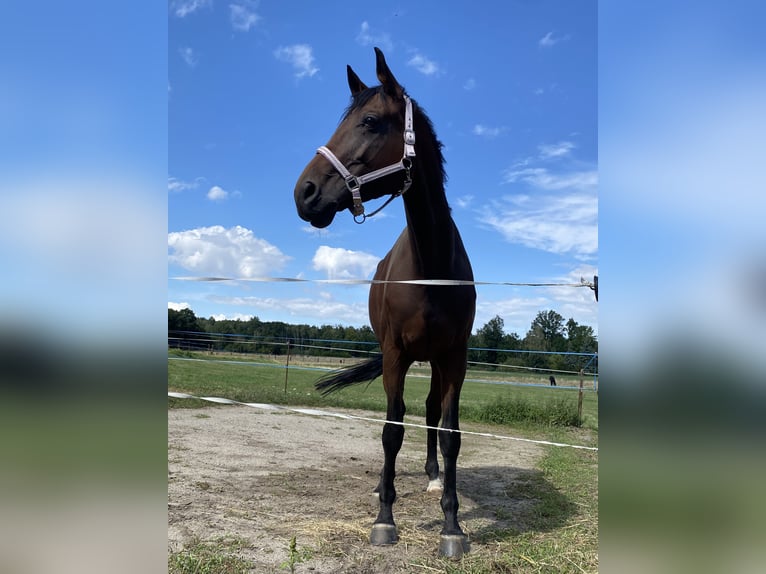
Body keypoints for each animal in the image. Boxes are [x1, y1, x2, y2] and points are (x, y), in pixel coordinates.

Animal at [293, 47, 476, 558]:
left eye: (371, 121)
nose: (304, 193)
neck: (431, 264)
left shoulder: (455, 358)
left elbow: (450, 433)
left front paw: (451, 524)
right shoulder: (394, 354)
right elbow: (391, 431)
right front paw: (384, 518)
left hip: (433, 361)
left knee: (431, 412)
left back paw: (433, 479)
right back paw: (384, 485)